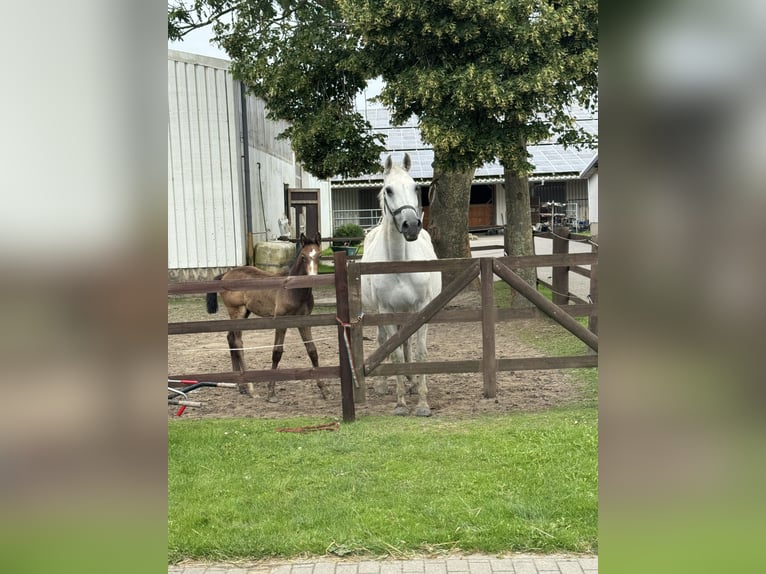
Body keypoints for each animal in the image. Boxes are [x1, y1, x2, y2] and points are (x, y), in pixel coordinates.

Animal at [362, 152, 440, 414]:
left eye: (415, 187)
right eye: (389, 190)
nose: (411, 225)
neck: (399, 263)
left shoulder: (422, 309)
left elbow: (420, 352)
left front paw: (423, 403)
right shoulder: (386, 310)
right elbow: (394, 353)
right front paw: (400, 403)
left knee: (406, 343)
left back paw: (412, 382)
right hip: (378, 313)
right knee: (384, 341)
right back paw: (385, 385)